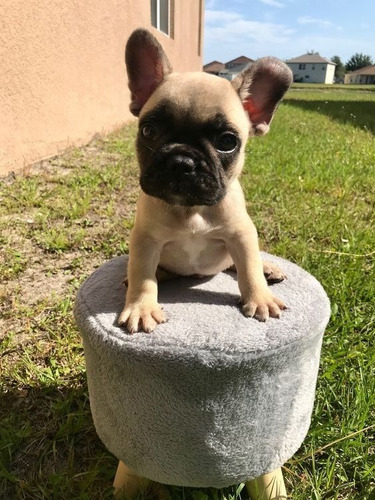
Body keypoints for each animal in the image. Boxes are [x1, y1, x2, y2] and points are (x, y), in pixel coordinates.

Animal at [119, 27, 294, 332]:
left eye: (227, 142)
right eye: (148, 131)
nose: (181, 162)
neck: (192, 210)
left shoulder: (242, 235)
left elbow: (249, 268)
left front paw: (260, 298)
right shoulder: (145, 239)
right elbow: (143, 275)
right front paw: (141, 307)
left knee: (240, 264)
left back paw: (268, 268)